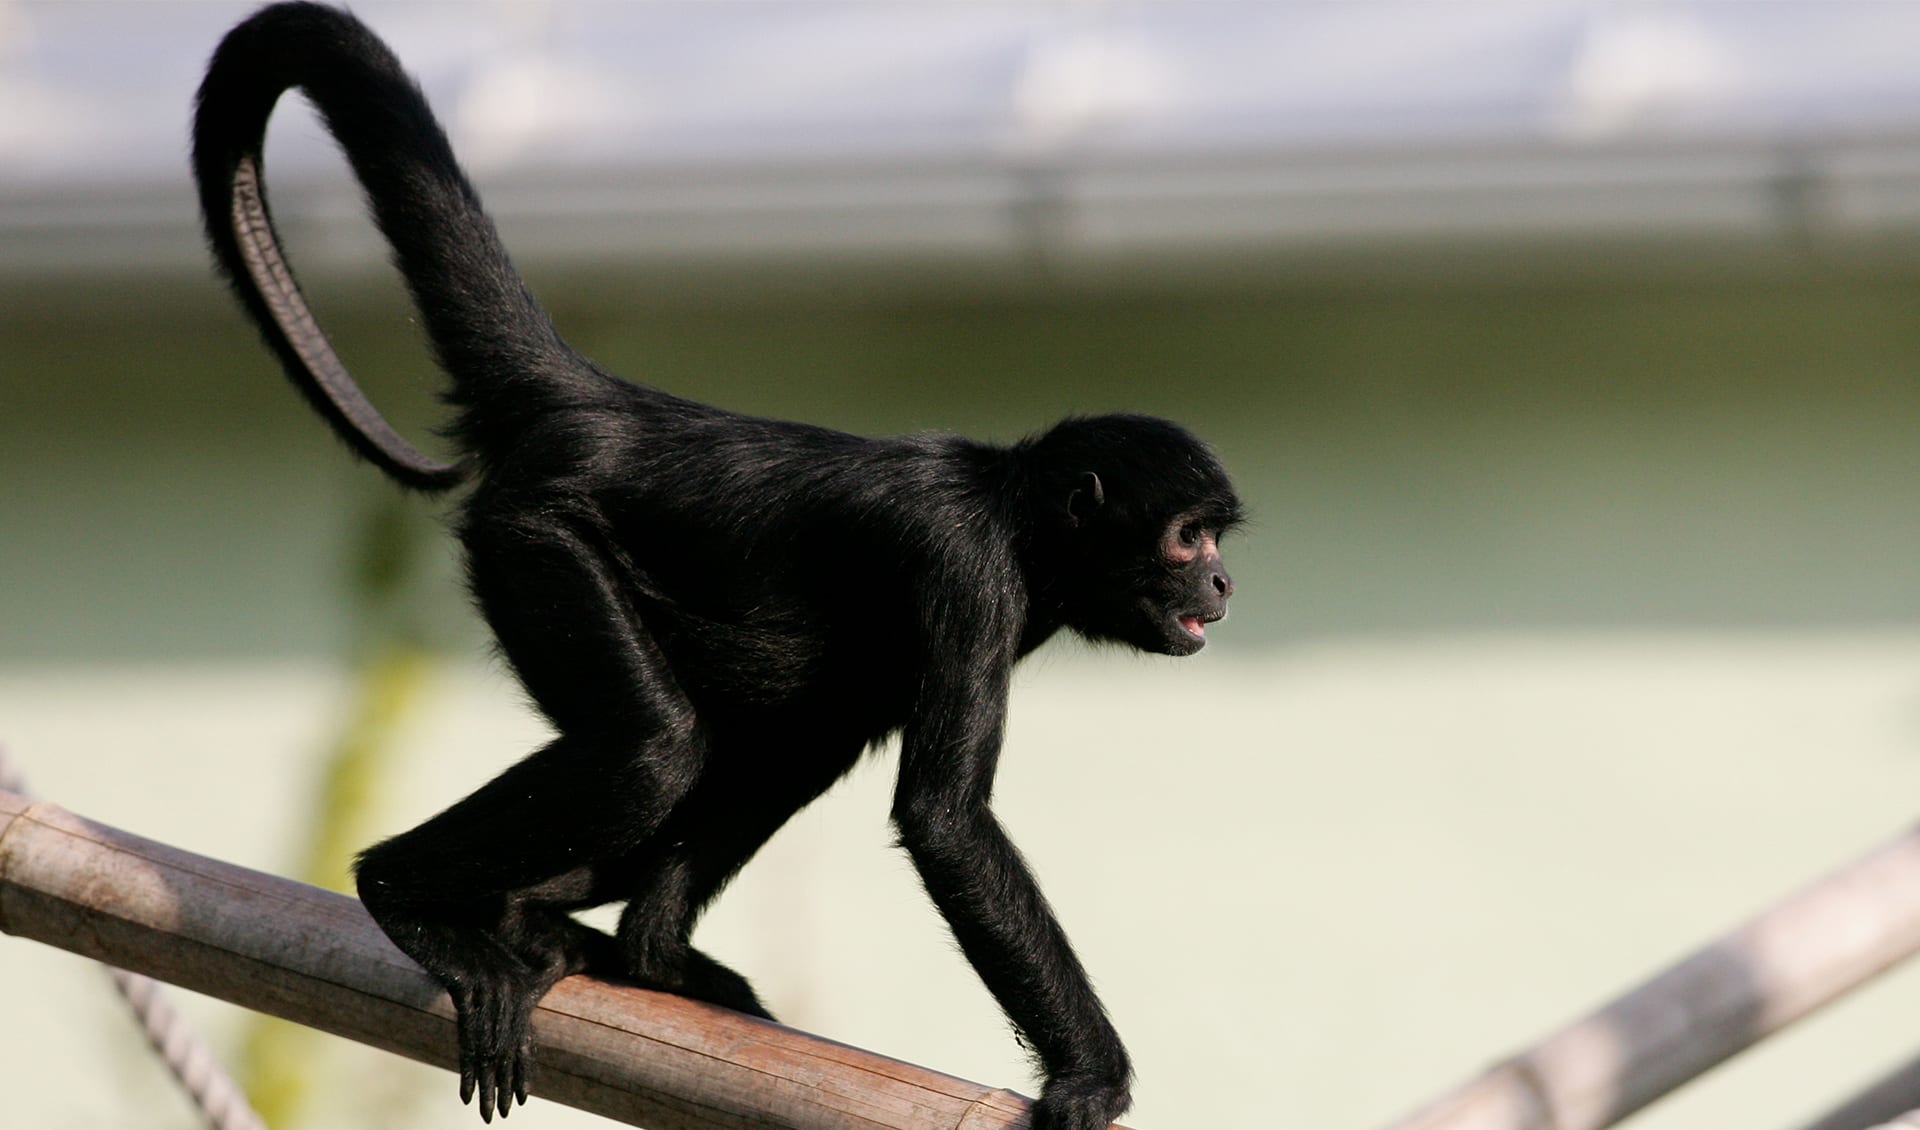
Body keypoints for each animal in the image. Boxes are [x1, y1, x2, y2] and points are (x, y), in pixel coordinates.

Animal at [191, 5, 1240, 1128]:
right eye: (1188, 536)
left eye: (1217, 538)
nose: (1222, 580)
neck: (1009, 513)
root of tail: (608, 404)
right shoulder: (967, 572)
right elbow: (946, 823)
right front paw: (1091, 1077)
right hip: (537, 539)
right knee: (654, 744)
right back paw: (407, 894)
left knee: (799, 732)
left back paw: (621, 946)